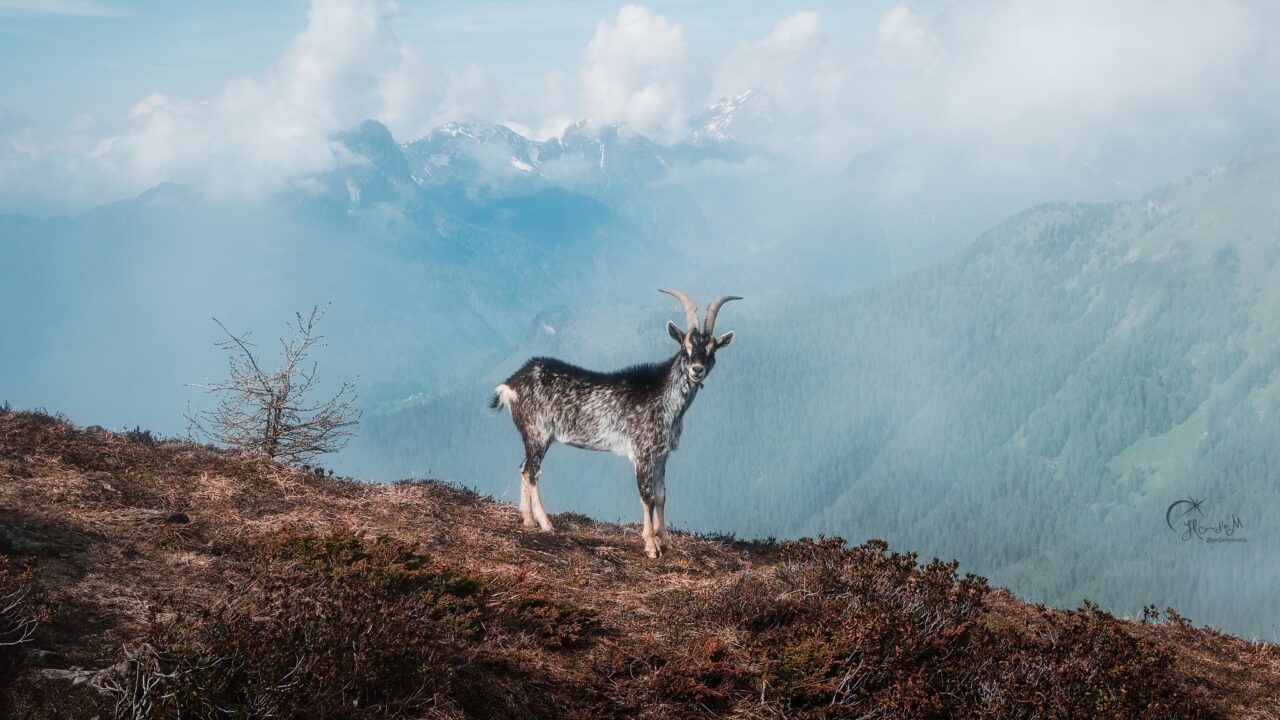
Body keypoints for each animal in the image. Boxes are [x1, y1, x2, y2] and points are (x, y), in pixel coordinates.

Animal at [488, 286, 742, 556]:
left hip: (531, 435)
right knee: (531, 471)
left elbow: (662, 494)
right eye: (685, 348)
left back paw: (527, 519)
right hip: (538, 432)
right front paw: (651, 545)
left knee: (523, 468)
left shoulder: (662, 454)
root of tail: (511, 385)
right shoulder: (642, 451)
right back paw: (546, 523)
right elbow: (648, 496)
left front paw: (665, 540)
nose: (697, 370)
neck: (663, 397)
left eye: (712, 350)